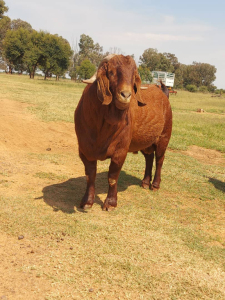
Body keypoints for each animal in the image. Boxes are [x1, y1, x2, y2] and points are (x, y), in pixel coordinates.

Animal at [74, 55, 172, 211]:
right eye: (111, 72)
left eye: (133, 76)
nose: (126, 95)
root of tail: (163, 94)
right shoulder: (84, 150)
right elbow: (90, 176)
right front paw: (87, 202)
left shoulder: (120, 151)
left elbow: (113, 178)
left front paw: (110, 203)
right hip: (145, 142)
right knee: (149, 158)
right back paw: (145, 182)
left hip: (164, 137)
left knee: (160, 159)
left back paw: (155, 185)